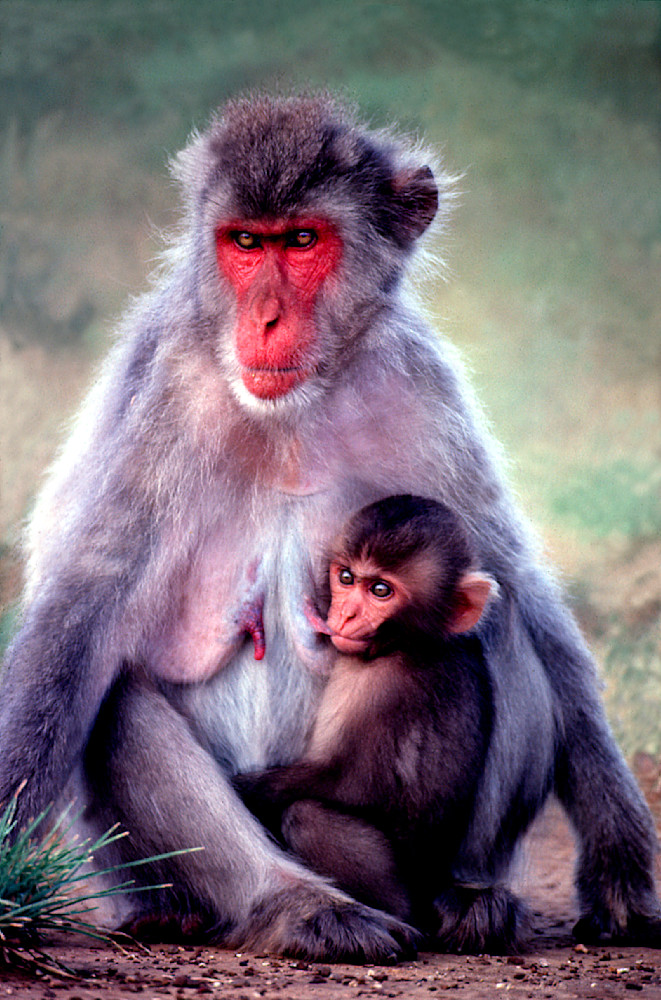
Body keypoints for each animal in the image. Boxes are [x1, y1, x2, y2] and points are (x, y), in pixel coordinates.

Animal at [234, 494, 498, 937]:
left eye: (380, 590)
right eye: (346, 578)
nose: (345, 616)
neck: (408, 644)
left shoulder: (384, 691)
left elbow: (348, 783)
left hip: (400, 891)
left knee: (308, 817)